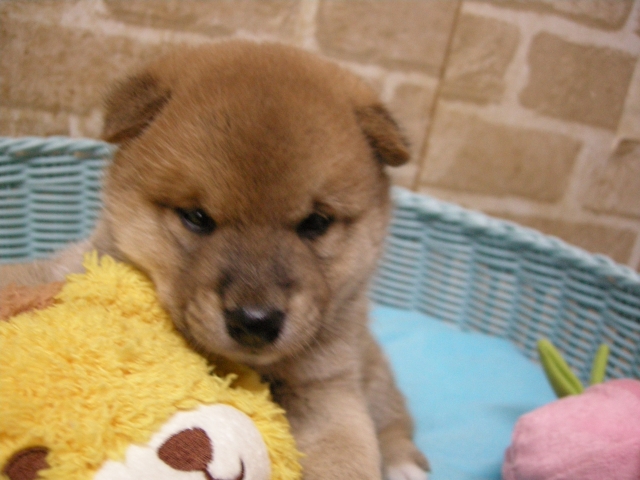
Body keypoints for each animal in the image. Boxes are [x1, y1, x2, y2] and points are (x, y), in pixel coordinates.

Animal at [1, 41, 429, 480]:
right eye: (197, 217)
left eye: (315, 223)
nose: (255, 321)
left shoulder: (329, 389)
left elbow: (346, 457)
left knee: (396, 423)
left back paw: (406, 465)